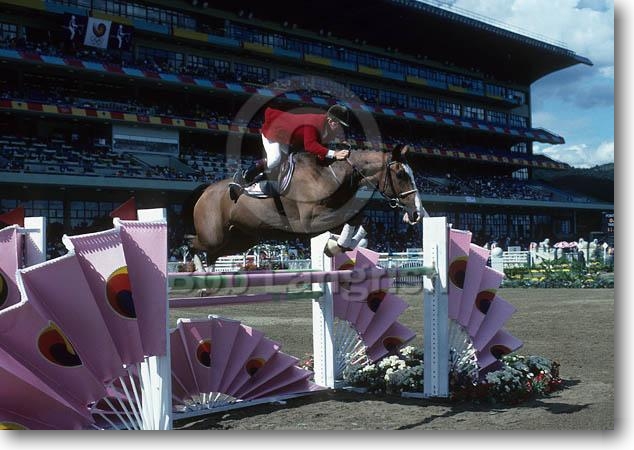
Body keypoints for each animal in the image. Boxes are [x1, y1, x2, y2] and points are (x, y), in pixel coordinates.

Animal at [187, 145, 424, 266]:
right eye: (401, 174)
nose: (416, 214)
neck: (330, 175)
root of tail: (206, 190)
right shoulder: (310, 220)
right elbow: (354, 220)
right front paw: (336, 244)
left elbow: (358, 221)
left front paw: (343, 244)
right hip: (214, 236)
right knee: (192, 243)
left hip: (241, 240)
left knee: (211, 252)